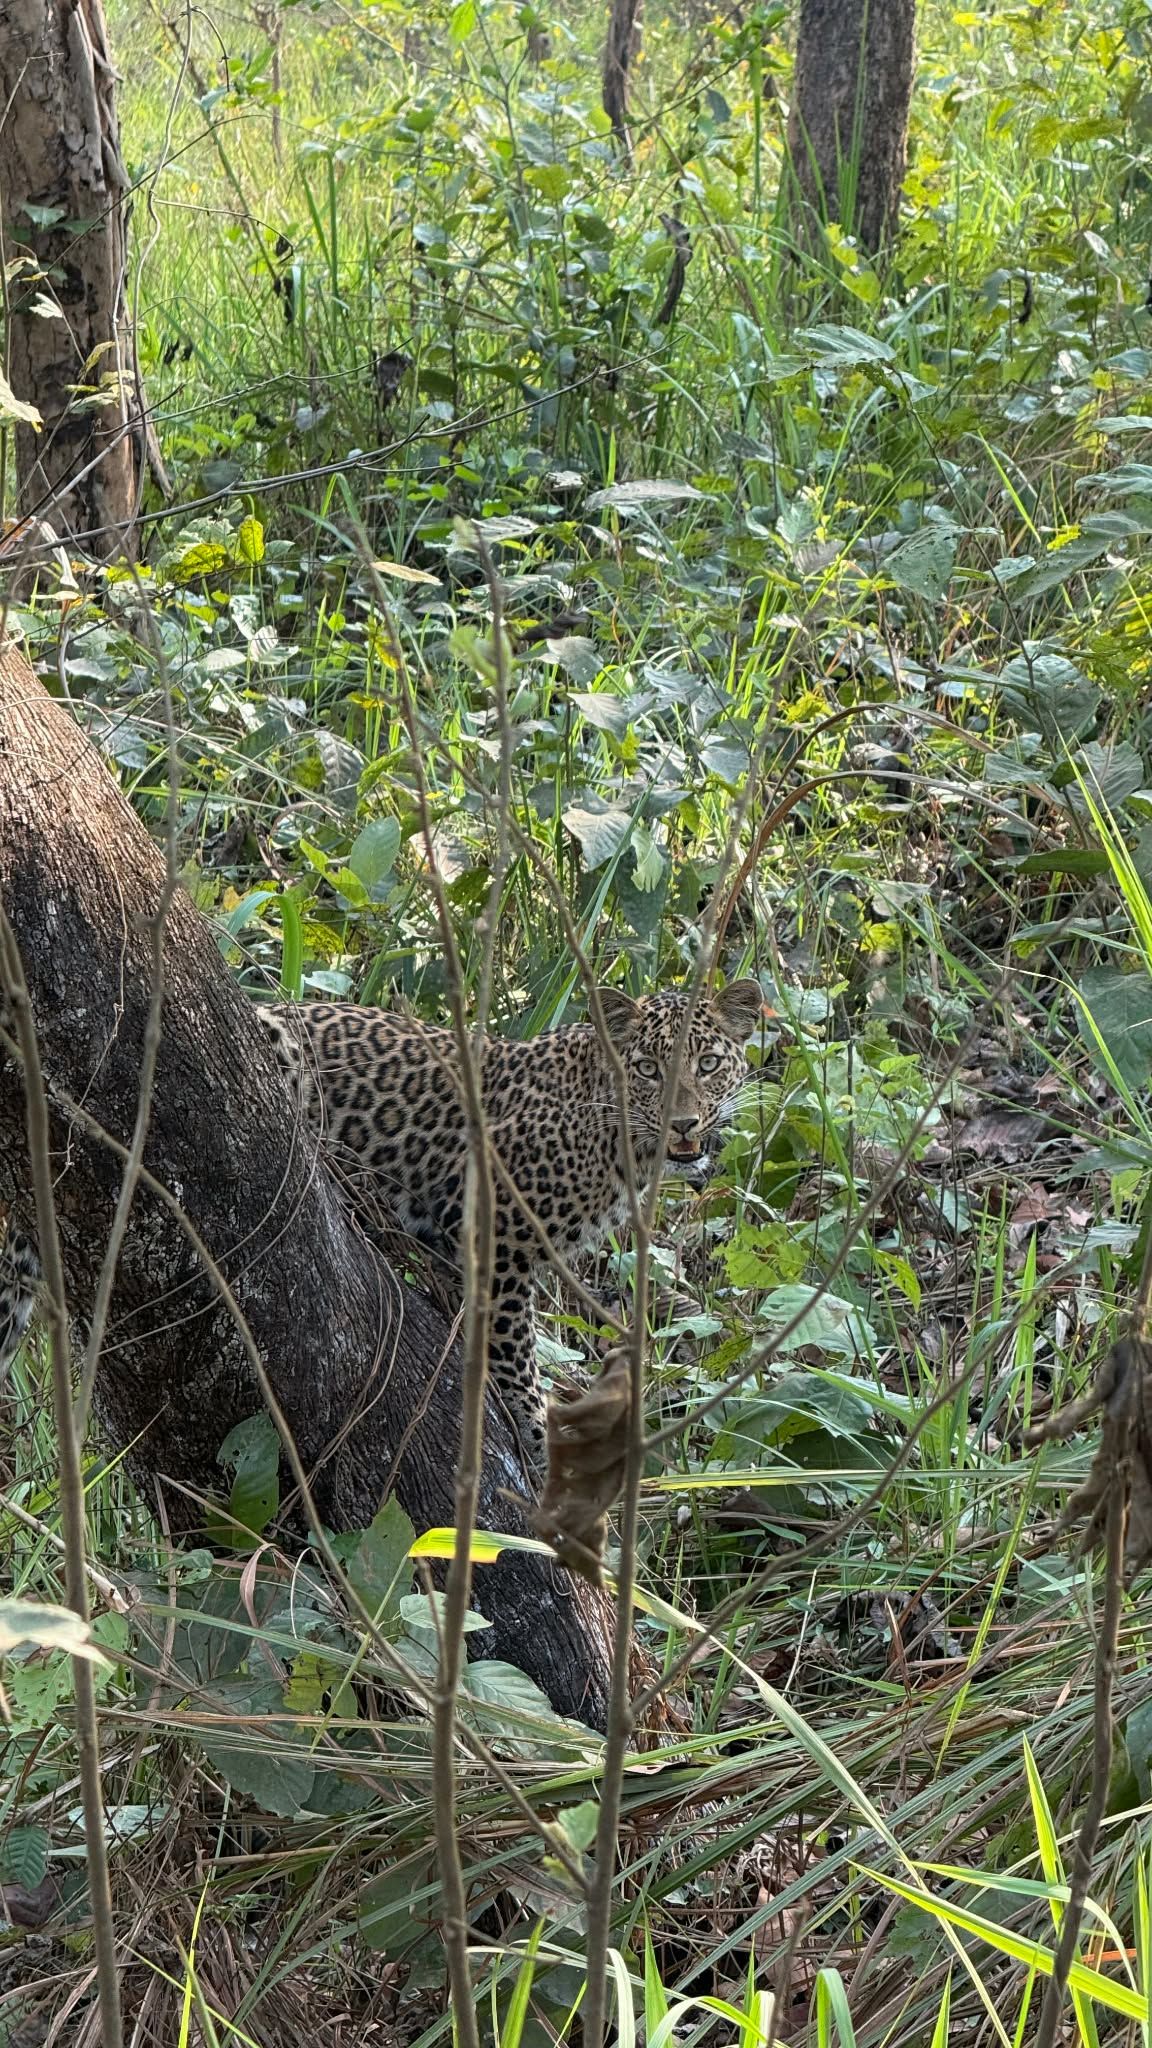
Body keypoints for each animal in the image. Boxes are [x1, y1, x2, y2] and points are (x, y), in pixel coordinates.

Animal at [259, 980, 763, 1465]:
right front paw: (537, 1434)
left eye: (709, 1063)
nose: (683, 1123)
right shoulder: (496, 1233)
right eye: (647, 1069)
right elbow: (511, 1344)